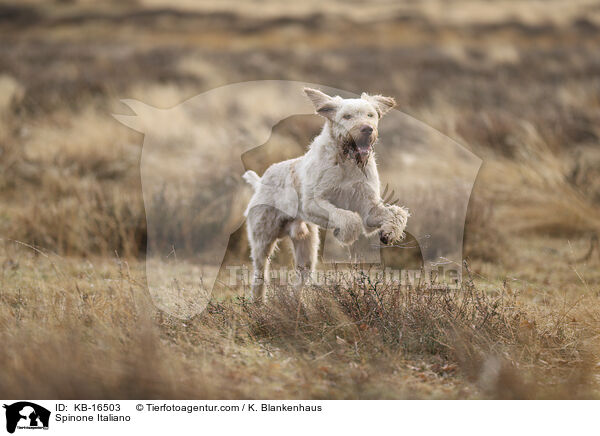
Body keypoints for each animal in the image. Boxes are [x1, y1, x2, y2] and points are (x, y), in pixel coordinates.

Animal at [243, 87, 408, 302]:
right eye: (347, 116)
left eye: (370, 115)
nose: (367, 129)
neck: (347, 160)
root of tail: (260, 182)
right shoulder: (313, 203)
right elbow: (347, 217)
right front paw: (345, 234)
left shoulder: (369, 210)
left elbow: (397, 214)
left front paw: (390, 232)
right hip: (262, 240)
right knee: (259, 274)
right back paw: (258, 303)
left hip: (306, 250)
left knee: (299, 280)